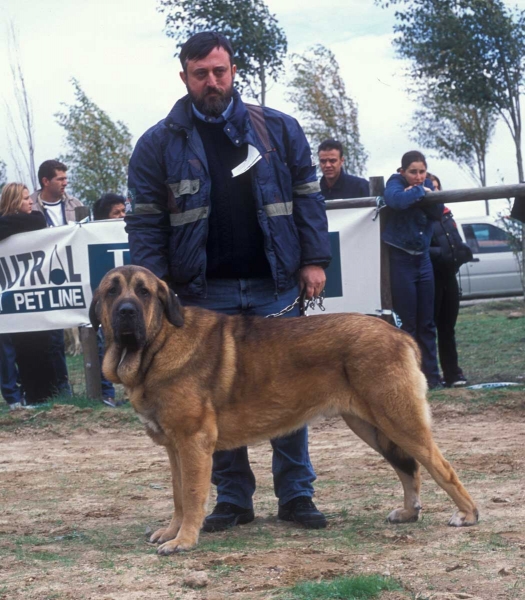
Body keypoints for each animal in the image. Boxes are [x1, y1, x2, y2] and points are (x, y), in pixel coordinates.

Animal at [90, 264, 478, 556]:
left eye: (143, 292)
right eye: (112, 292)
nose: (126, 312)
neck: (158, 343)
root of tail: (399, 334)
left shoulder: (193, 441)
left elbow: (192, 494)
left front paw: (183, 541)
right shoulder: (175, 447)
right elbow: (177, 494)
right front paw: (172, 531)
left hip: (399, 419)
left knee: (440, 466)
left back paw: (467, 515)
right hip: (371, 425)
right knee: (408, 468)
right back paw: (410, 512)